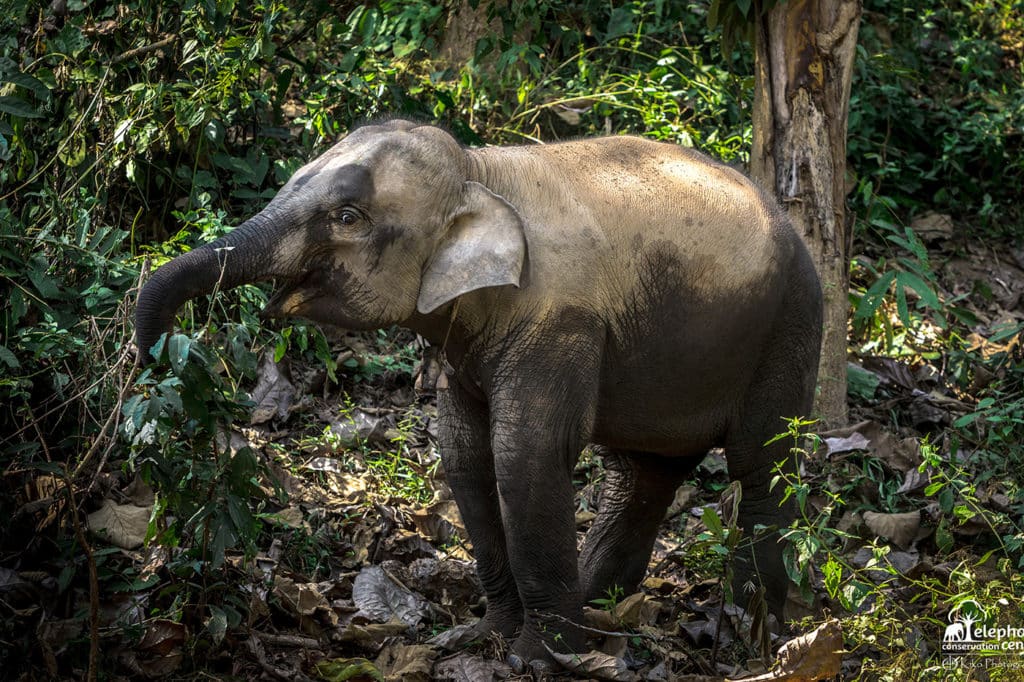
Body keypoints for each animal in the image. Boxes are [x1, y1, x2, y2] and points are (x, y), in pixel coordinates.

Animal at [135, 119, 822, 668]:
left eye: (348, 216)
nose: (156, 361)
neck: (480, 172)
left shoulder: (559, 323)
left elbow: (525, 458)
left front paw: (536, 660)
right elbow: (464, 457)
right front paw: (483, 635)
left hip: (790, 325)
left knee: (762, 468)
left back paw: (748, 637)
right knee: (643, 477)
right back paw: (601, 609)